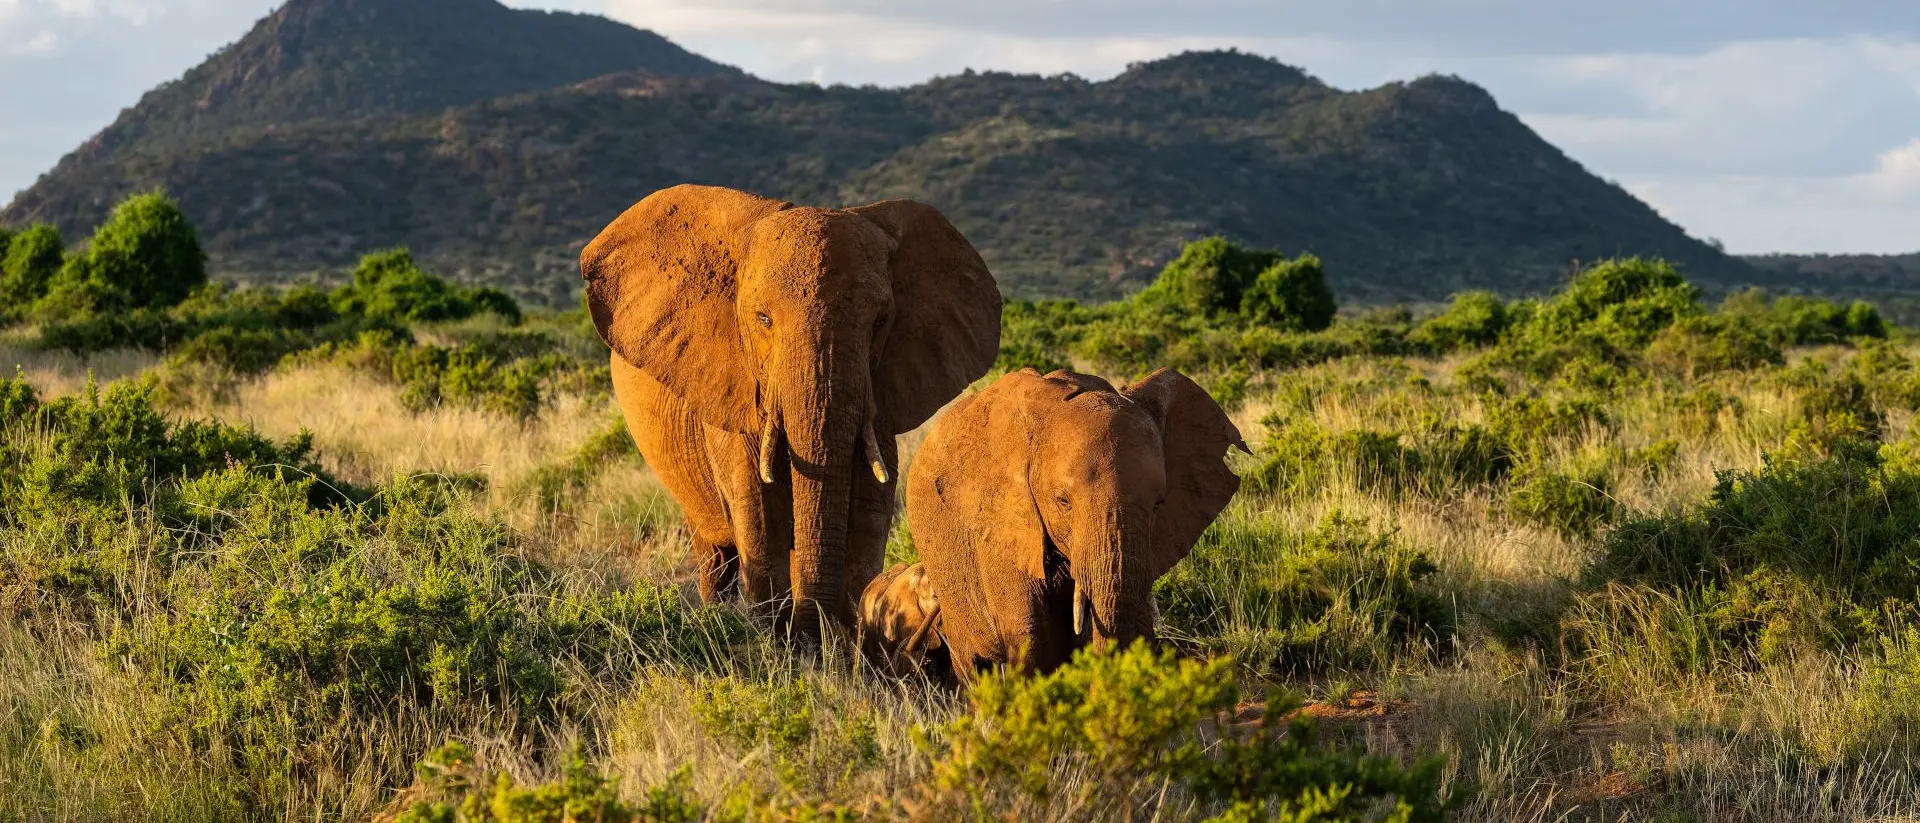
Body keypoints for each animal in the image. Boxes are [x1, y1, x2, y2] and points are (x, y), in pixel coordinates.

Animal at [582, 184, 1002, 636]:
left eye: (880, 322)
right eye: (763, 318)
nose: (813, 629)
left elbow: (869, 508)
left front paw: (842, 636)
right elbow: (759, 510)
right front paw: (779, 637)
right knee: (716, 550)